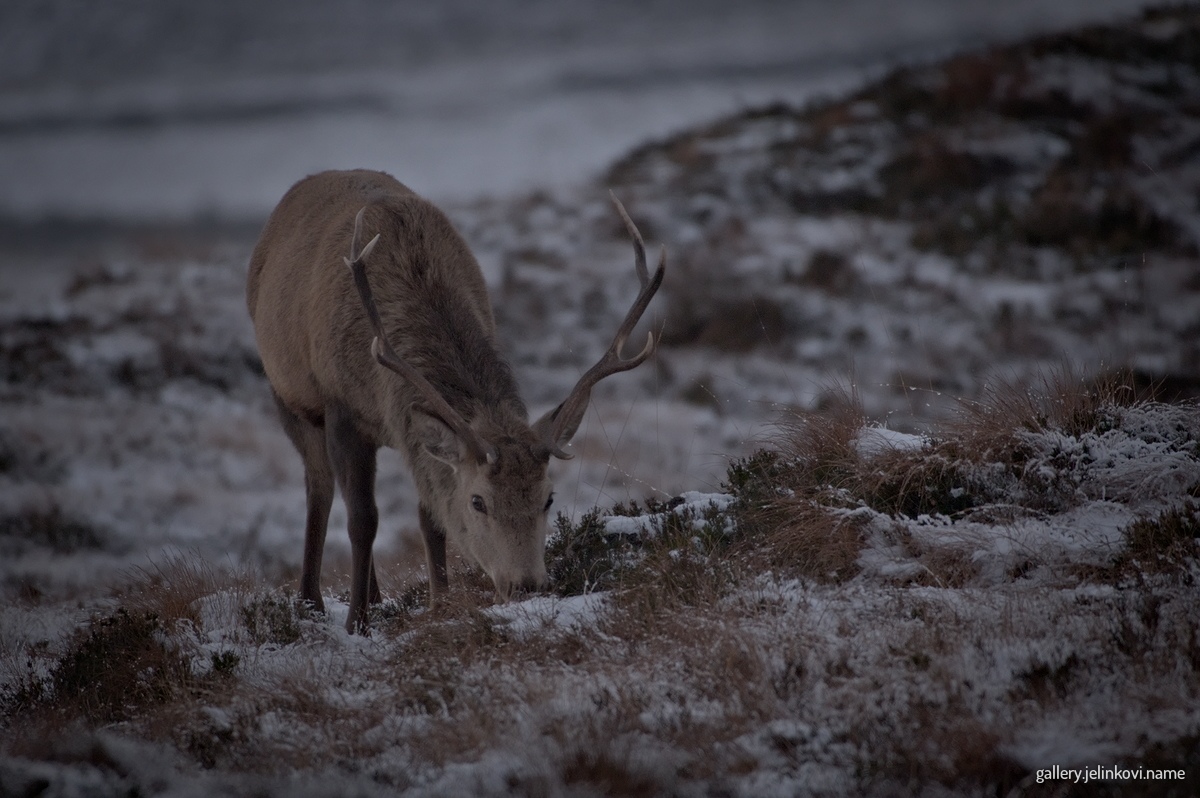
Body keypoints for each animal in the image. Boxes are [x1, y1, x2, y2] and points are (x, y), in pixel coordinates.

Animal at [246, 169, 664, 633]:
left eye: (549, 498)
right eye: (478, 501)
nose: (527, 586)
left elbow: (430, 517)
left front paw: (439, 604)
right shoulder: (342, 410)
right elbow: (363, 519)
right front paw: (357, 623)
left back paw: (373, 596)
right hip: (288, 394)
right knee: (319, 487)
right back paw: (312, 603)